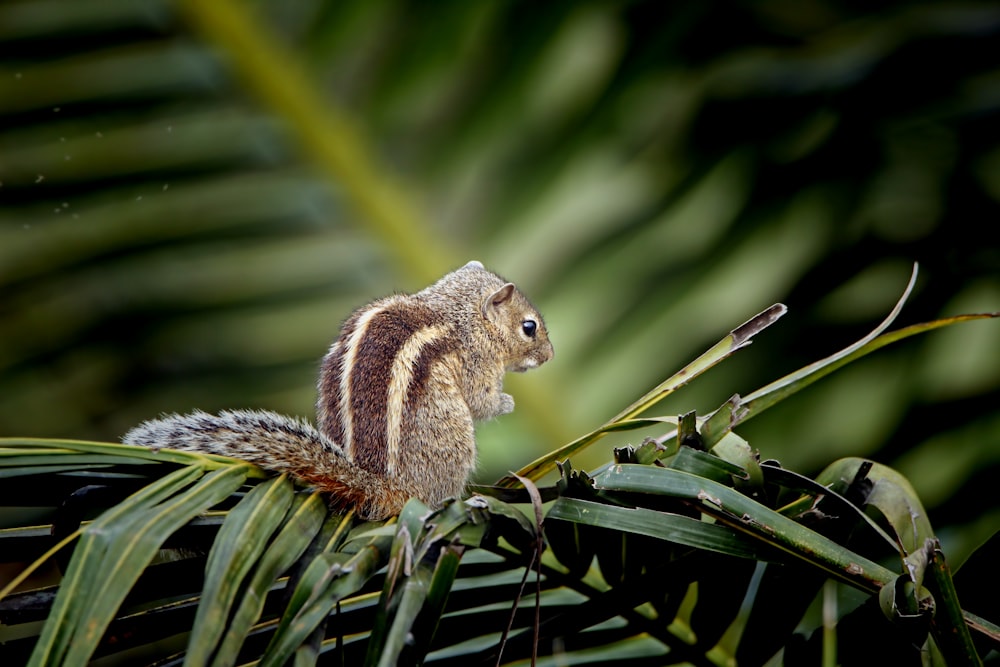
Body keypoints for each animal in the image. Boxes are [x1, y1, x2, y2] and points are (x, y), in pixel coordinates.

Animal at [124, 262, 556, 520]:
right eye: (529, 327)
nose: (550, 356)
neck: (456, 313)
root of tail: (381, 486)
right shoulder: (475, 363)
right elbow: (482, 401)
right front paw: (506, 401)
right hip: (454, 441)